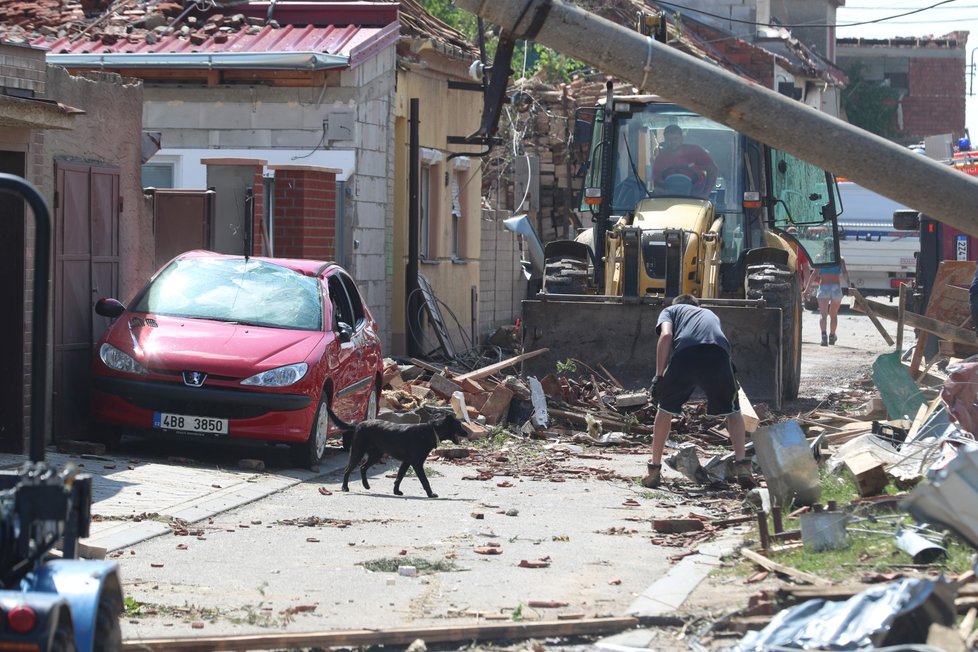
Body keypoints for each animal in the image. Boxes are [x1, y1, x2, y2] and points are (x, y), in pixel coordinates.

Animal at [328, 408, 466, 500]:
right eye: (459, 425)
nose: (467, 433)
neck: (432, 430)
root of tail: (358, 424)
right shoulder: (417, 463)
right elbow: (424, 480)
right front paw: (431, 494)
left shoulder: (407, 462)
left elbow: (399, 477)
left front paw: (396, 491)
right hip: (358, 452)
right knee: (347, 469)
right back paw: (345, 487)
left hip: (376, 454)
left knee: (362, 467)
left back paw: (366, 486)